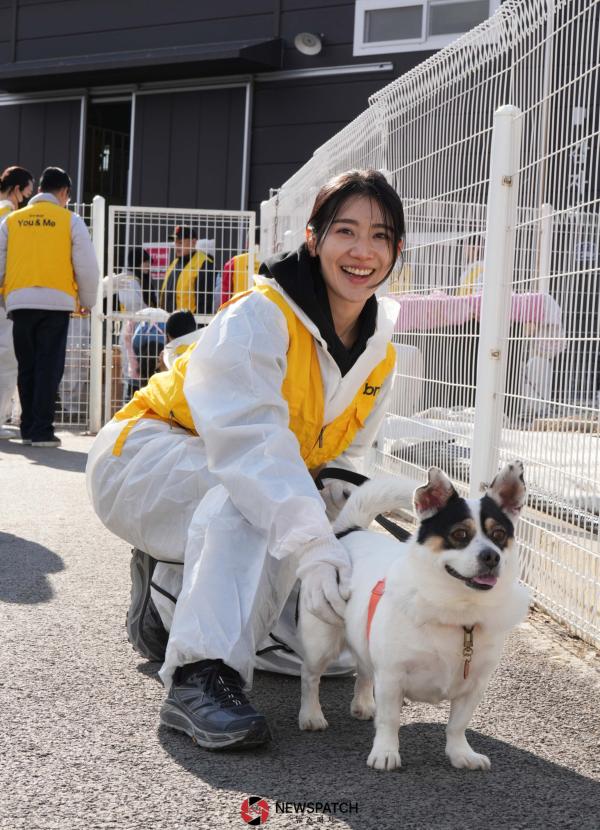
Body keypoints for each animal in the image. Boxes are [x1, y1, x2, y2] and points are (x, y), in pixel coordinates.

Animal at [300, 462, 528, 772]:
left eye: (500, 535)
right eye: (460, 534)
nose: (491, 556)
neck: (459, 610)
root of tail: (350, 530)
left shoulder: (474, 687)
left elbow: (457, 725)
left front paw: (461, 754)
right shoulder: (392, 676)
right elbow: (390, 720)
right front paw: (385, 752)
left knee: (364, 670)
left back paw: (362, 704)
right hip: (320, 641)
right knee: (311, 677)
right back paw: (311, 715)